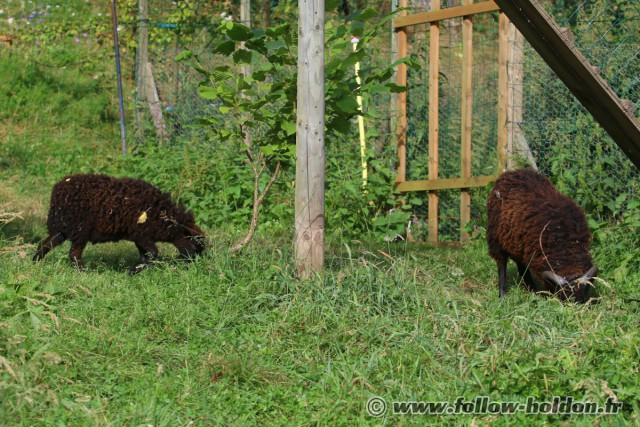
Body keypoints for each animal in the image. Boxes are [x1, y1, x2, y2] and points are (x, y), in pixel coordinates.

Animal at [32, 176, 205, 276]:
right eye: (196, 245)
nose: (196, 267)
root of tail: (57, 192)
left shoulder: (139, 236)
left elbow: (146, 256)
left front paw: (134, 271)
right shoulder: (142, 233)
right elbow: (153, 253)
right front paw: (131, 271)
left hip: (62, 228)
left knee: (45, 244)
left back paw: (35, 263)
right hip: (80, 230)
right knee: (73, 254)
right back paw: (84, 273)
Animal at [488, 169, 596, 302]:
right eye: (564, 293)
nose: (578, 303)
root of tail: (512, 172)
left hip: (517, 242)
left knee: (521, 265)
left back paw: (532, 289)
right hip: (496, 237)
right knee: (501, 264)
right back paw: (503, 295)